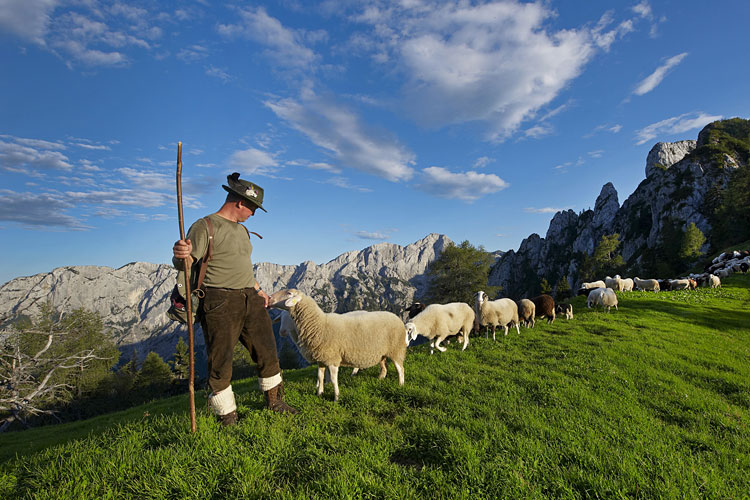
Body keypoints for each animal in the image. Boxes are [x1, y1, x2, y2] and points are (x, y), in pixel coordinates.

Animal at [270, 288, 408, 400]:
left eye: (289, 293)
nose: (270, 298)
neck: (319, 325)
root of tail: (397, 318)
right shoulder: (321, 358)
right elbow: (320, 376)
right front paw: (319, 393)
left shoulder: (333, 358)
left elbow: (333, 379)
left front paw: (336, 397)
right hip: (382, 353)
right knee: (384, 367)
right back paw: (380, 379)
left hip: (397, 349)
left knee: (400, 369)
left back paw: (400, 385)